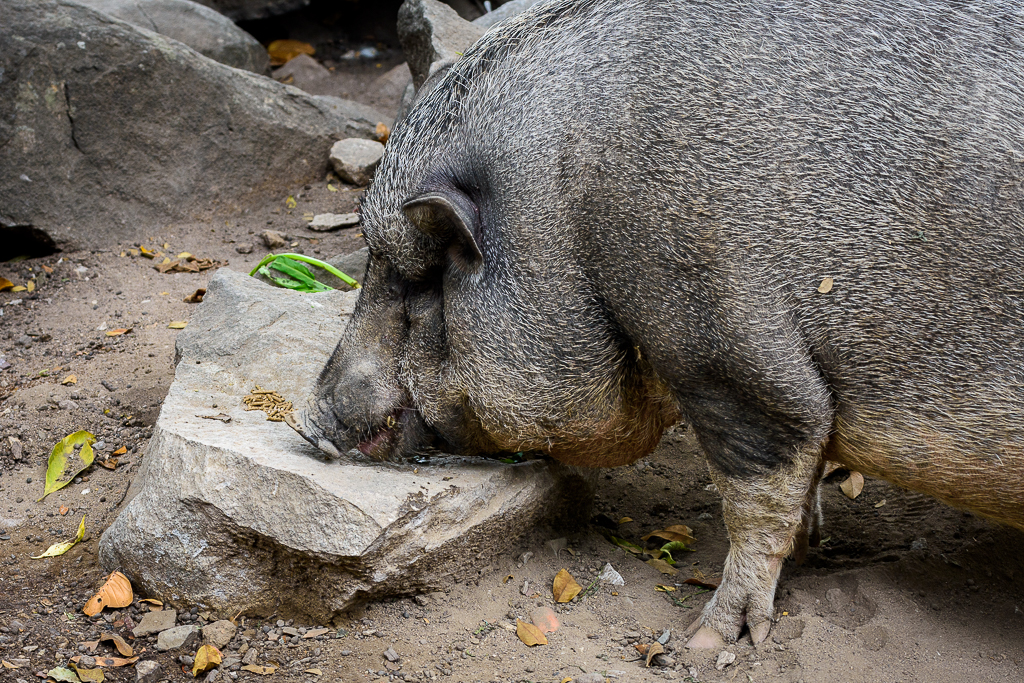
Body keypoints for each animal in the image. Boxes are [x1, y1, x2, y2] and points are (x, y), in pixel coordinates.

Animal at [288, 0, 1024, 648]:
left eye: (414, 274)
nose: (306, 421)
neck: (569, 215)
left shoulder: (727, 350)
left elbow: (757, 492)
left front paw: (708, 641)